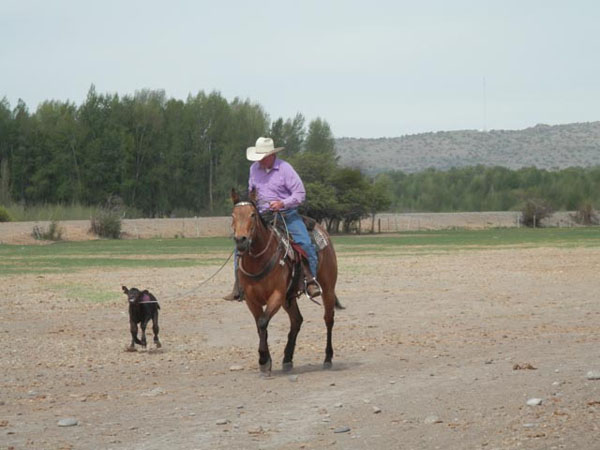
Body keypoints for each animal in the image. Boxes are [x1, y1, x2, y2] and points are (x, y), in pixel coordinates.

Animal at [231, 186, 342, 372]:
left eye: (252, 214)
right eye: (233, 215)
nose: (241, 240)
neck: (259, 261)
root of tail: (323, 231)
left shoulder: (276, 295)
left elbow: (263, 322)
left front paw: (264, 360)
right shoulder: (252, 300)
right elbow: (260, 326)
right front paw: (266, 361)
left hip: (327, 288)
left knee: (329, 319)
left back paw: (327, 358)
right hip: (289, 298)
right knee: (297, 320)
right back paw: (287, 359)